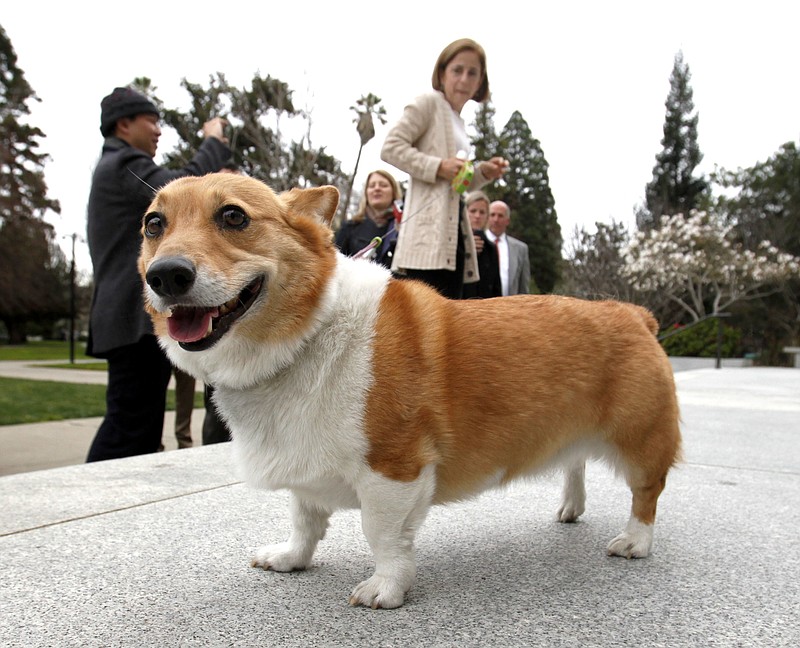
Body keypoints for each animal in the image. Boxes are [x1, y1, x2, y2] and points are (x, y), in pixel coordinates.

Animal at [138, 172, 680, 608]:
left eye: (233, 216)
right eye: (153, 224)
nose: (165, 275)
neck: (307, 334)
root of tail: (634, 313)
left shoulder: (392, 469)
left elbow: (382, 535)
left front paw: (386, 589)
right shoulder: (307, 465)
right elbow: (304, 520)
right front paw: (290, 558)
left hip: (640, 438)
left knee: (647, 493)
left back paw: (635, 542)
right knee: (574, 462)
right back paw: (571, 507)